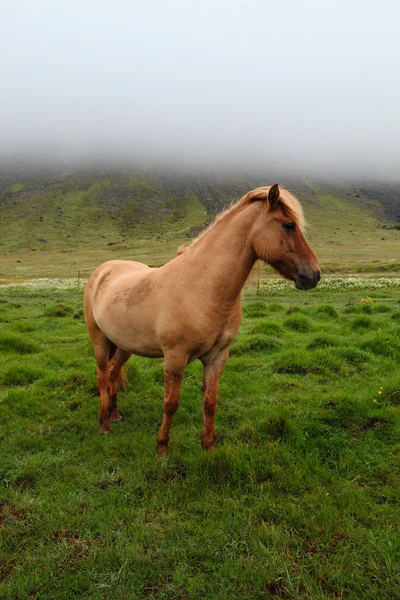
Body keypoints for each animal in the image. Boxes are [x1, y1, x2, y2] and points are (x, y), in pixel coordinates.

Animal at [85, 183, 322, 454]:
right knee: (103, 376)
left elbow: (210, 402)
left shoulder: (217, 357)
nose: (315, 274)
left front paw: (208, 446)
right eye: (289, 225)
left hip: (124, 345)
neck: (201, 286)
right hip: (99, 340)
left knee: (114, 373)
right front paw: (162, 449)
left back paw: (115, 415)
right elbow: (170, 403)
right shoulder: (175, 358)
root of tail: (103, 270)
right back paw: (105, 425)